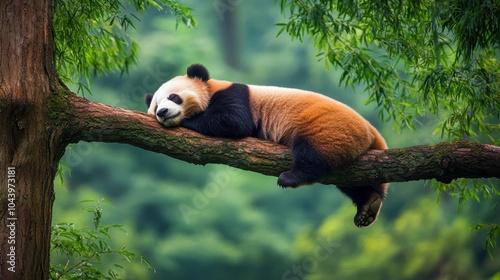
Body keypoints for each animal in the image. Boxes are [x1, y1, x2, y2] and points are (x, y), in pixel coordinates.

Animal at [143, 64, 388, 228]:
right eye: (155, 105)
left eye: (173, 97)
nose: (162, 112)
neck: (211, 88)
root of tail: (371, 132)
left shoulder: (235, 95)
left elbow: (234, 121)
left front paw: (188, 120)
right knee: (349, 180)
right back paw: (368, 206)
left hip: (327, 127)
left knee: (314, 154)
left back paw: (291, 177)